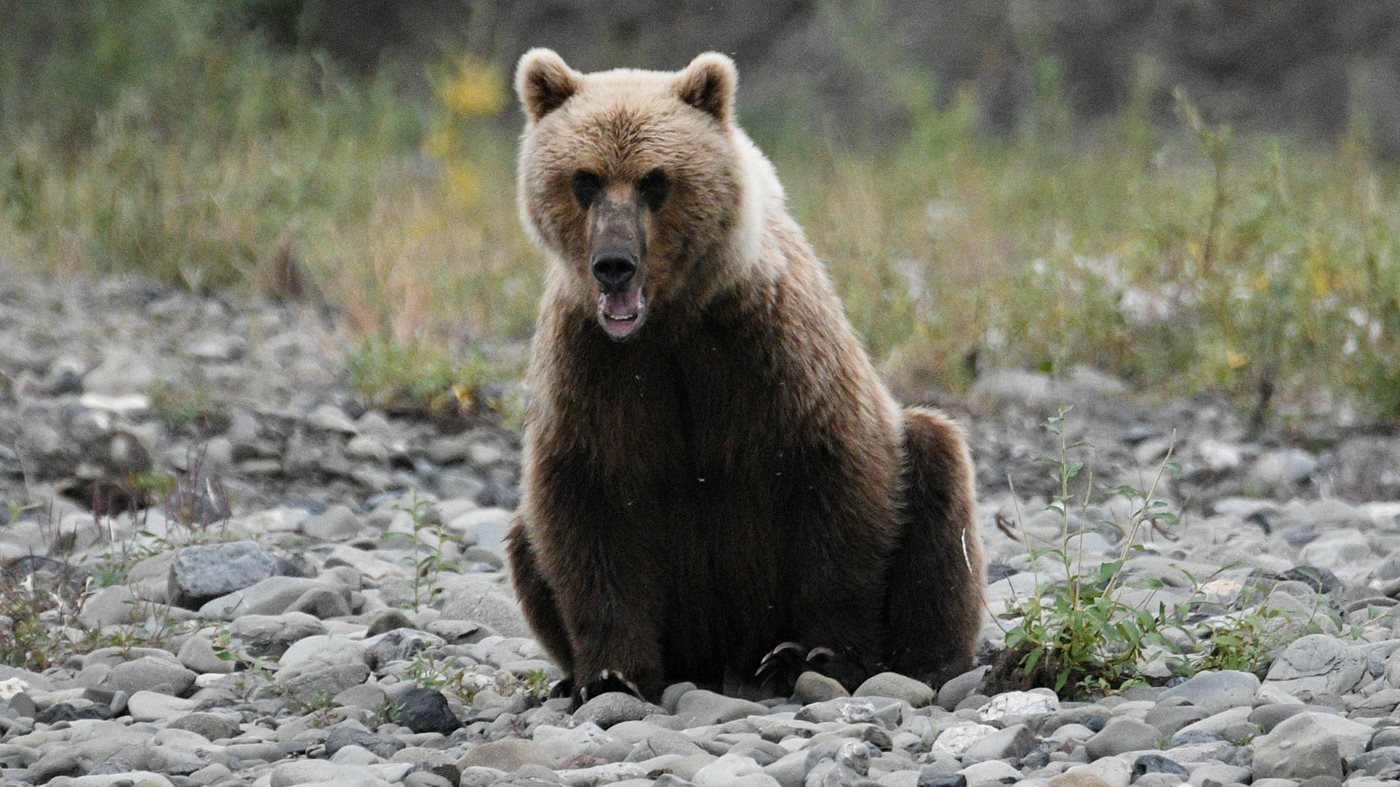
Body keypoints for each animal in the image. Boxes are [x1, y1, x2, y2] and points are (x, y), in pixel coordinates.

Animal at [505, 48, 983, 706]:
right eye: (585, 179)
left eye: (655, 180)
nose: (613, 264)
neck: (673, 319)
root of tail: (721, 654)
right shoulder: (597, 369)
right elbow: (590, 504)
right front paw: (612, 674)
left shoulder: (771, 350)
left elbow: (839, 481)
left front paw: (822, 652)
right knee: (523, 536)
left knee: (936, 472)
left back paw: (919, 660)